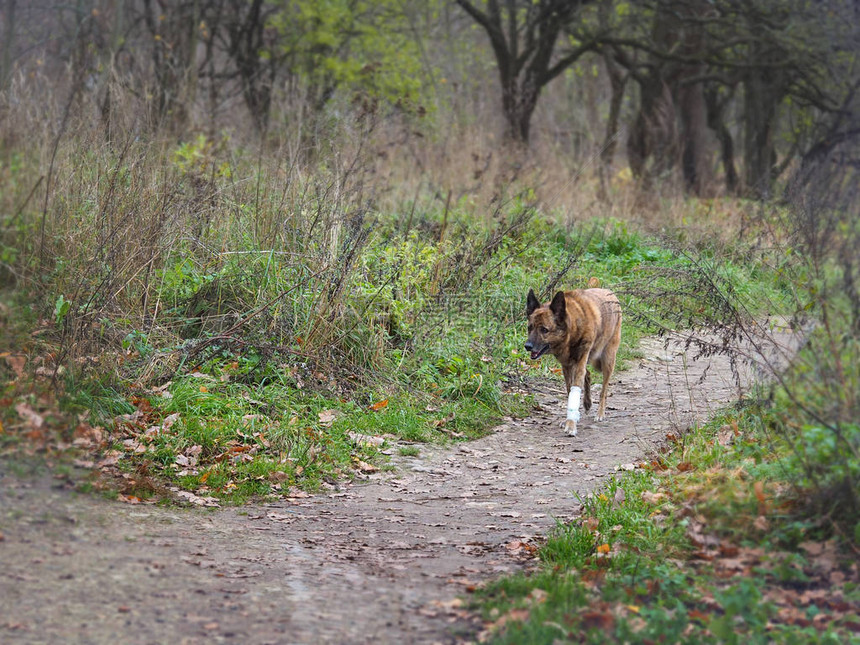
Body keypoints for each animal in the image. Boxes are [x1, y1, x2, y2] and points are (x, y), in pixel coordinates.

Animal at [528, 284, 620, 436]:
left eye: (544, 330)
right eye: (529, 328)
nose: (527, 346)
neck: (573, 330)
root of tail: (609, 292)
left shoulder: (580, 361)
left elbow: (576, 388)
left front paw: (571, 424)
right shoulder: (567, 366)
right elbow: (569, 390)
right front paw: (570, 419)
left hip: (608, 360)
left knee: (604, 390)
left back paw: (600, 413)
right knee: (588, 375)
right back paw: (587, 403)